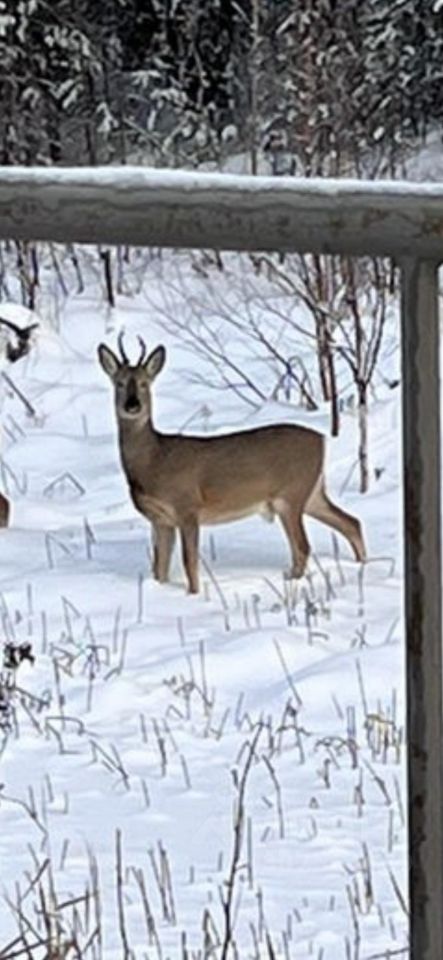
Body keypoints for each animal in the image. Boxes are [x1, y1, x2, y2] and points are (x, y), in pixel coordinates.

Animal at [98, 335, 366, 594]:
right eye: (119, 383)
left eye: (145, 383)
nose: (133, 405)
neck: (154, 460)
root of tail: (322, 439)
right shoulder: (160, 519)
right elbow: (159, 568)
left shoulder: (187, 506)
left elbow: (189, 562)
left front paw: (193, 596)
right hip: (310, 493)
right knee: (351, 522)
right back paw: (362, 564)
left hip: (291, 494)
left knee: (302, 546)